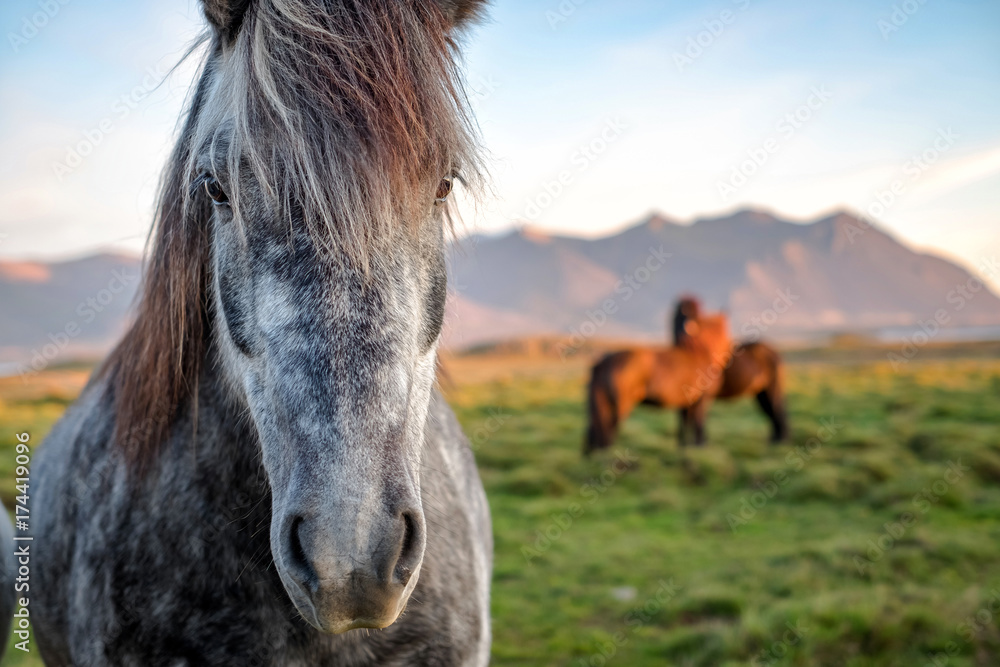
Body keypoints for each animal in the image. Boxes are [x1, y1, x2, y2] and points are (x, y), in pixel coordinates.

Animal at [584, 312, 733, 455]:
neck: (700, 354)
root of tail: (603, 361)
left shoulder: (686, 403)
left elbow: (684, 427)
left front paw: (684, 450)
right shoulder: (702, 401)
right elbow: (699, 427)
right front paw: (700, 448)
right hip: (620, 405)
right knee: (608, 432)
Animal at [672, 298, 788, 443]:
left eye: (697, 312)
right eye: (683, 311)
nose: (690, 330)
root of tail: (774, 353)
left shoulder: (703, 396)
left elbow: (698, 419)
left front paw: (700, 444)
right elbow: (685, 418)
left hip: (772, 390)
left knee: (778, 411)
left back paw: (780, 441)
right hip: (761, 393)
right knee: (772, 412)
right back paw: (774, 440)